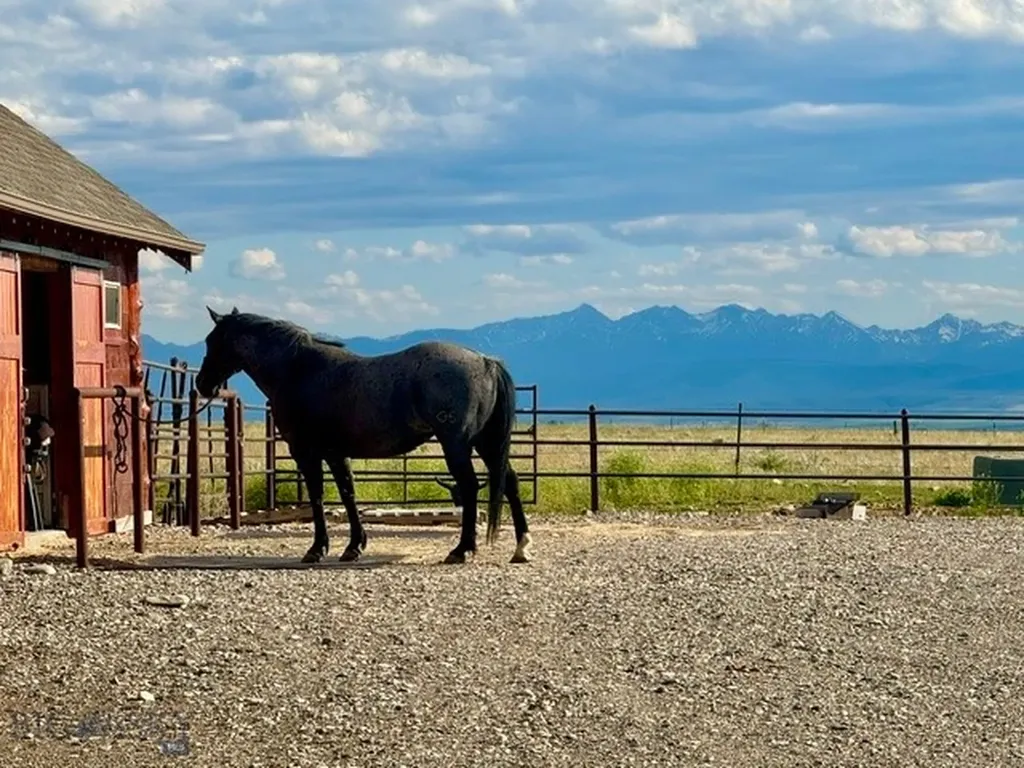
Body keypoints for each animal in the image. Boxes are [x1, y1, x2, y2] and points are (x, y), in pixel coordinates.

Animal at [193, 307, 533, 565]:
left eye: (212, 341)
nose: (202, 384)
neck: (297, 369)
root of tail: (486, 361)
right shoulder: (335, 452)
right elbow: (348, 494)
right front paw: (354, 546)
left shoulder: (306, 451)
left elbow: (318, 496)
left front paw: (317, 549)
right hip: (485, 442)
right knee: (510, 482)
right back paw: (521, 547)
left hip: (458, 444)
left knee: (471, 486)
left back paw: (462, 550)